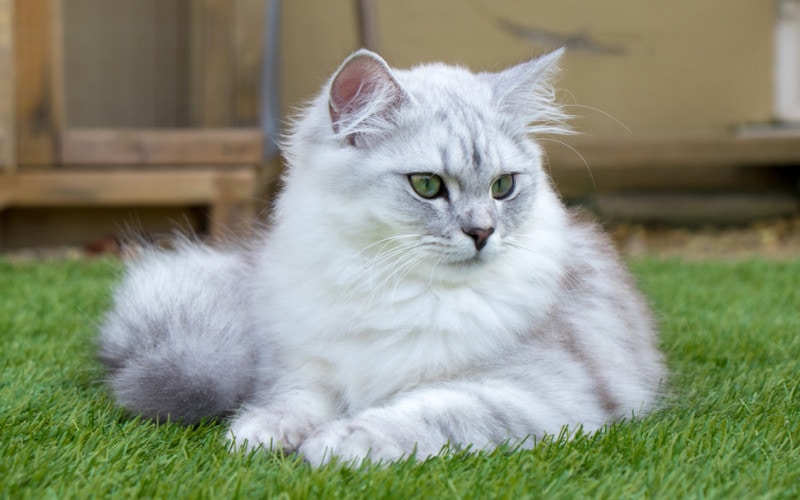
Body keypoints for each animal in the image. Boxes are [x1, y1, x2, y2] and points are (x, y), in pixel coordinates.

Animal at [97, 48, 664, 466]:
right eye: (427, 185)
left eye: (503, 187)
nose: (483, 232)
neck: (397, 286)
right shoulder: (311, 366)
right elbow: (293, 400)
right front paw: (261, 431)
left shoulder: (538, 393)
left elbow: (424, 413)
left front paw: (337, 442)